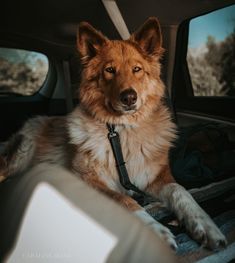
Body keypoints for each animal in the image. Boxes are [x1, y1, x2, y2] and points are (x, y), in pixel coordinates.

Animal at [0, 17, 228, 251]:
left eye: (137, 69)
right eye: (109, 70)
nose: (129, 97)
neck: (121, 132)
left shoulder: (158, 177)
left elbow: (180, 191)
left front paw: (205, 225)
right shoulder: (87, 178)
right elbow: (125, 200)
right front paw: (155, 231)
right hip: (21, 153)